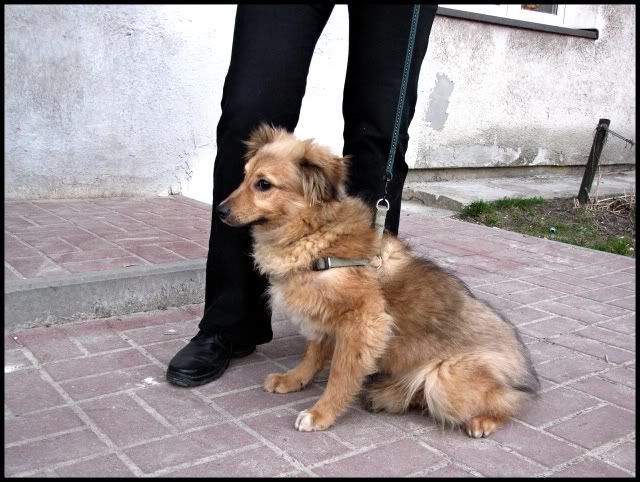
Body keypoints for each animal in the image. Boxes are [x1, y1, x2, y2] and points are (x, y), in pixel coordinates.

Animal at [217, 124, 539, 437]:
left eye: (263, 184)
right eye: (244, 176)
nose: (219, 210)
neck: (316, 234)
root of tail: (523, 366)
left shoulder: (363, 322)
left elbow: (341, 373)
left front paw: (321, 413)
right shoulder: (322, 314)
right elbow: (312, 354)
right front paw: (294, 379)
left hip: (445, 378)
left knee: (510, 399)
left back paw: (483, 421)